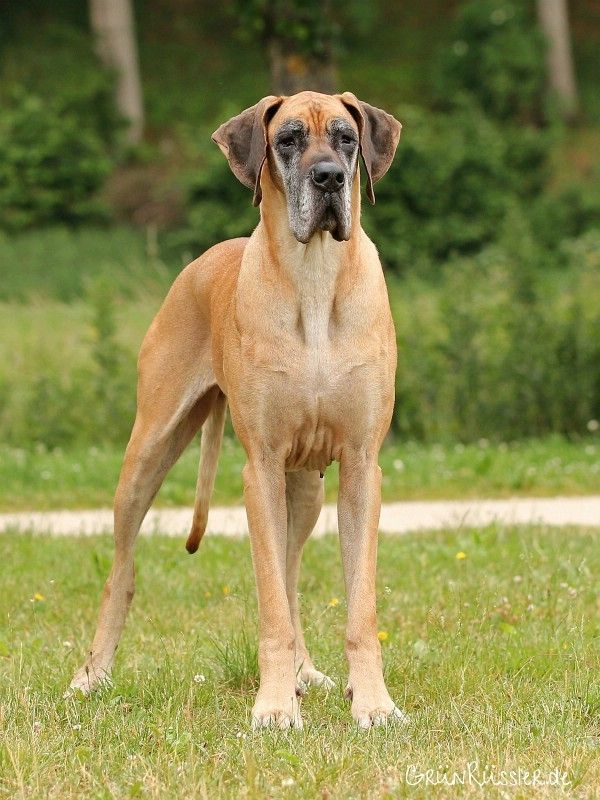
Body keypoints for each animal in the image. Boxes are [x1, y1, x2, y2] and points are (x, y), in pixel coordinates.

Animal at [69, 91, 404, 729]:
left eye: (347, 138)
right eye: (288, 139)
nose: (330, 178)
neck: (314, 280)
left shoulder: (360, 466)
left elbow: (359, 607)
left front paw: (372, 701)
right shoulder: (261, 470)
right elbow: (270, 604)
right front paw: (274, 707)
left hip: (307, 490)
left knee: (293, 578)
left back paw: (305, 673)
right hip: (149, 451)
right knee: (122, 571)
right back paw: (93, 674)